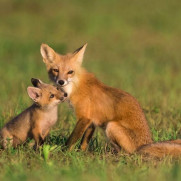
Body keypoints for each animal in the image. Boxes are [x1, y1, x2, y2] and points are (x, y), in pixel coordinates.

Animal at [40, 43, 181, 157]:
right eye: (55, 70)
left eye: (70, 72)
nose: (61, 81)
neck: (75, 86)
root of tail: (148, 142)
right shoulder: (91, 120)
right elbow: (84, 142)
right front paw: (81, 154)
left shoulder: (84, 117)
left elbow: (71, 140)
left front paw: (63, 153)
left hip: (111, 126)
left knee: (130, 153)